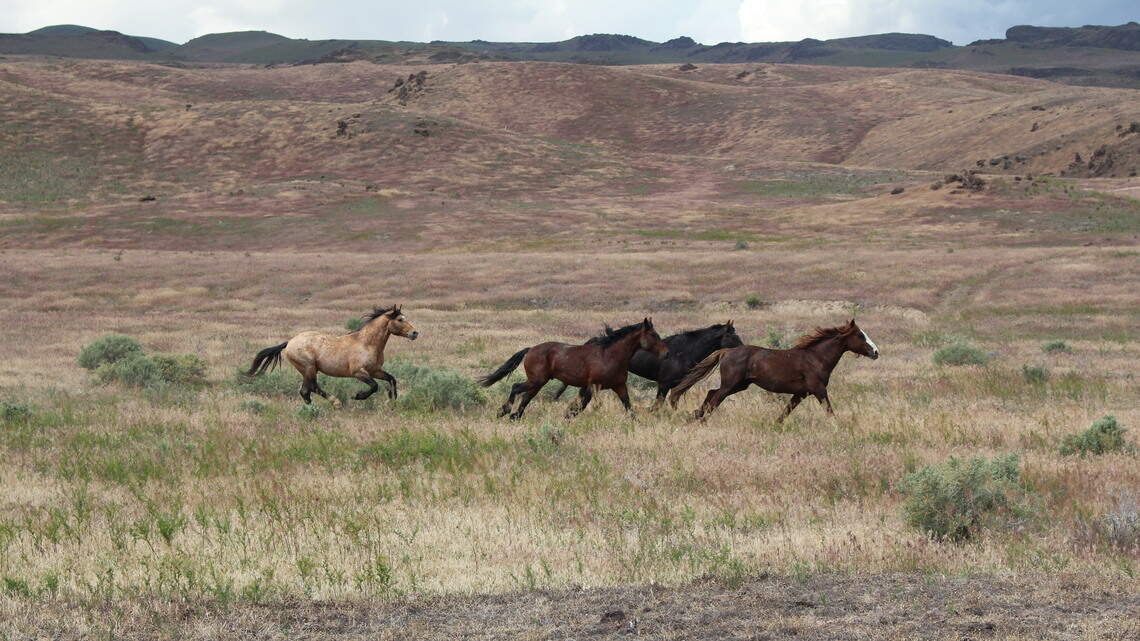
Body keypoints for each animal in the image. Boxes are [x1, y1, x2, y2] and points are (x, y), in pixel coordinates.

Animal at [245, 305, 419, 405]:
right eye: (400, 319)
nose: (415, 333)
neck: (366, 343)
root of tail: (289, 343)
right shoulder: (358, 372)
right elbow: (374, 386)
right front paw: (358, 396)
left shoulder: (375, 371)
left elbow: (391, 379)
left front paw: (391, 400)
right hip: (309, 368)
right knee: (310, 388)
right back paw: (334, 402)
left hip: (308, 370)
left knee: (306, 391)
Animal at [479, 318, 669, 420]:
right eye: (653, 335)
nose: (666, 353)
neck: (610, 356)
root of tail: (531, 349)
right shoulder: (593, 386)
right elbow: (582, 406)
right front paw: (568, 417)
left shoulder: (619, 386)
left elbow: (628, 406)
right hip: (537, 380)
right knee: (516, 387)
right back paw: (504, 411)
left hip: (538, 383)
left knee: (525, 397)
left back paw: (514, 417)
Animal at [550, 321, 743, 409]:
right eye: (733, 335)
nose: (744, 348)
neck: (683, 351)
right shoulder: (664, 384)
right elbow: (658, 405)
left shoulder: (676, 386)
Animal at [668, 319, 879, 422]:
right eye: (860, 335)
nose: (876, 352)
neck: (816, 358)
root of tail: (727, 351)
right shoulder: (818, 390)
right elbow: (829, 410)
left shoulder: (801, 393)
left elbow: (785, 412)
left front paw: (775, 426)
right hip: (731, 384)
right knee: (715, 399)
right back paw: (700, 420)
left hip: (740, 385)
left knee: (712, 393)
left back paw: (695, 415)